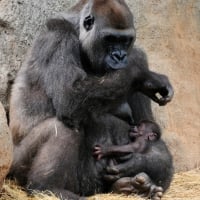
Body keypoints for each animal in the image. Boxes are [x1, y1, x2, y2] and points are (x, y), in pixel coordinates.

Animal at [9, 0, 173, 199]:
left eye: (125, 40)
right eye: (110, 39)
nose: (120, 56)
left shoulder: (137, 54)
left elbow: (147, 127)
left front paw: (136, 161)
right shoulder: (57, 36)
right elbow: (69, 97)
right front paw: (142, 75)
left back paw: (132, 187)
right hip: (17, 164)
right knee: (62, 128)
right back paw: (46, 187)